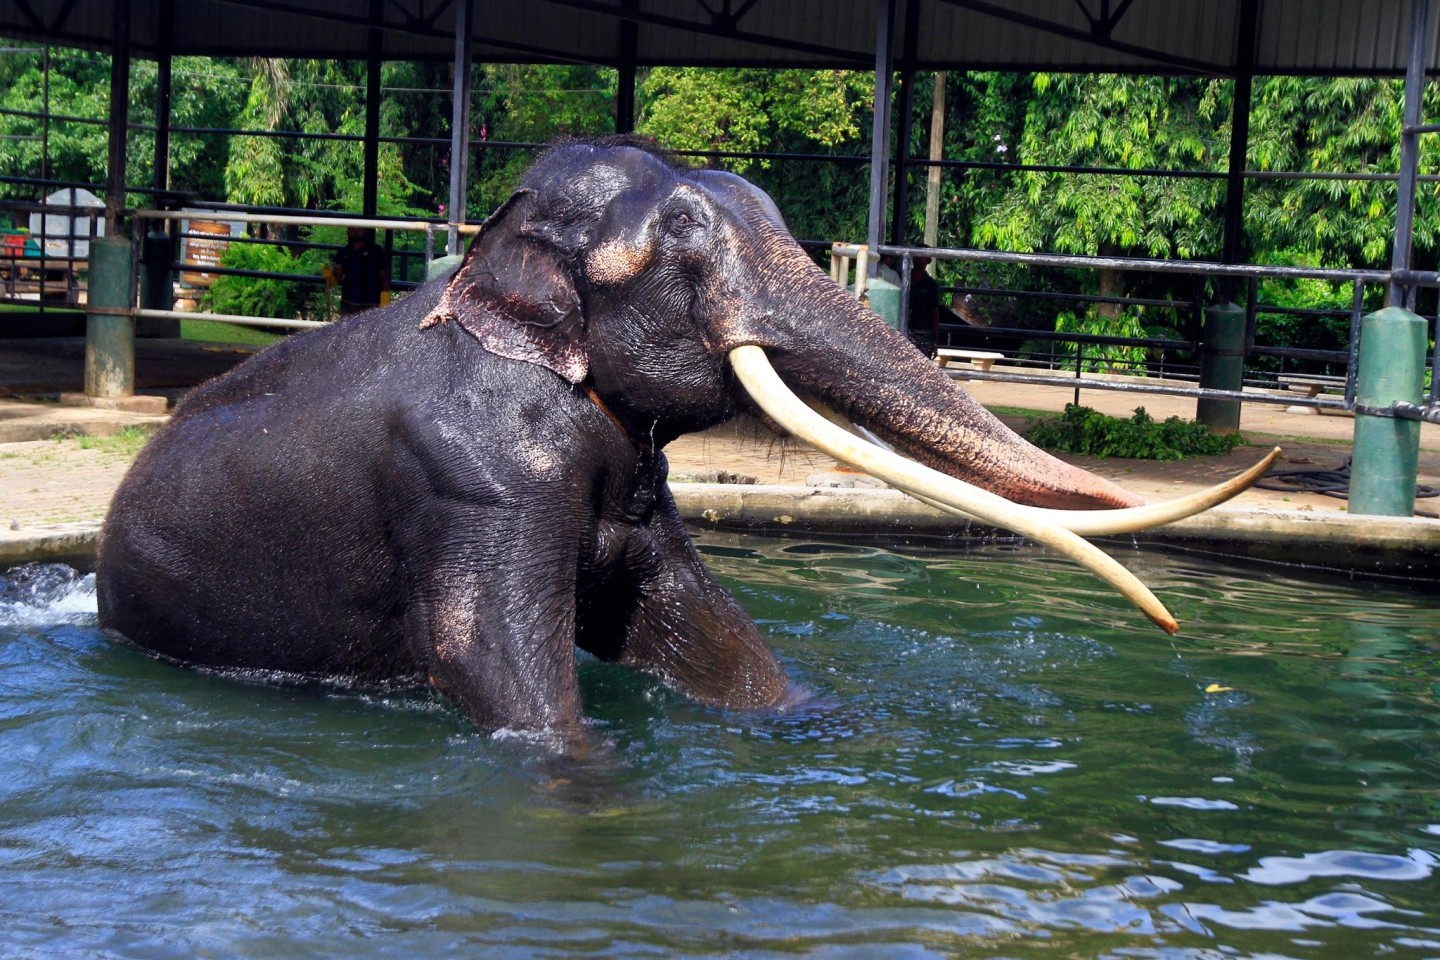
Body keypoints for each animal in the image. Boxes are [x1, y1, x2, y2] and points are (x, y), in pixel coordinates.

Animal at [98, 136, 1272, 736]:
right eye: (687, 249)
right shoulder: (473, 479)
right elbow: (490, 663)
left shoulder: (640, 493)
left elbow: (711, 639)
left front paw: (820, 726)